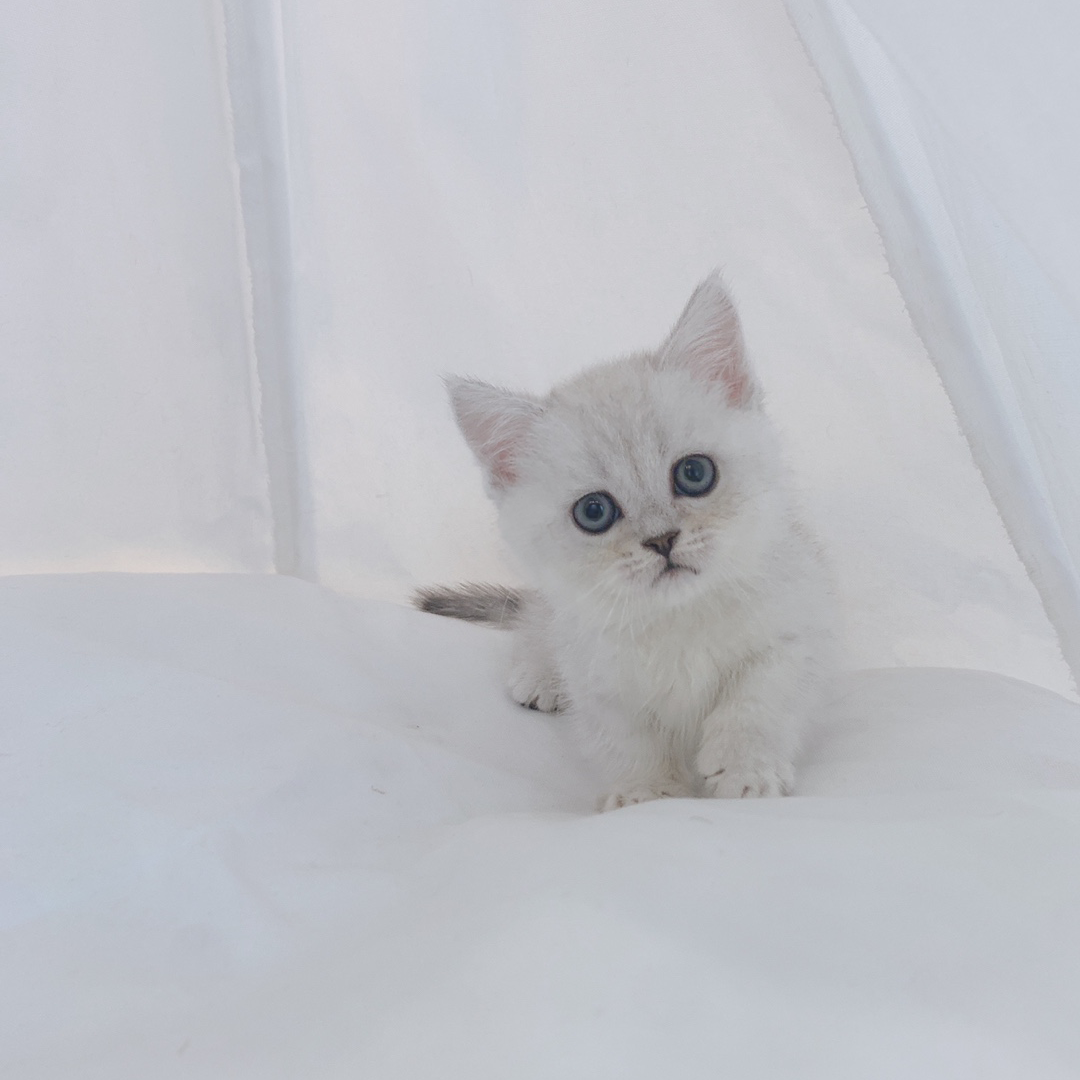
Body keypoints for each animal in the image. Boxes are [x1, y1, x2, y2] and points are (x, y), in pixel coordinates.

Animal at [416, 273, 836, 810]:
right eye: (594, 512)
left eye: (694, 473)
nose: (662, 540)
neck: (677, 619)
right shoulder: (599, 679)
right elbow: (630, 740)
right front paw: (648, 794)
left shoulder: (796, 631)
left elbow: (757, 705)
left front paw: (746, 770)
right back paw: (539, 676)